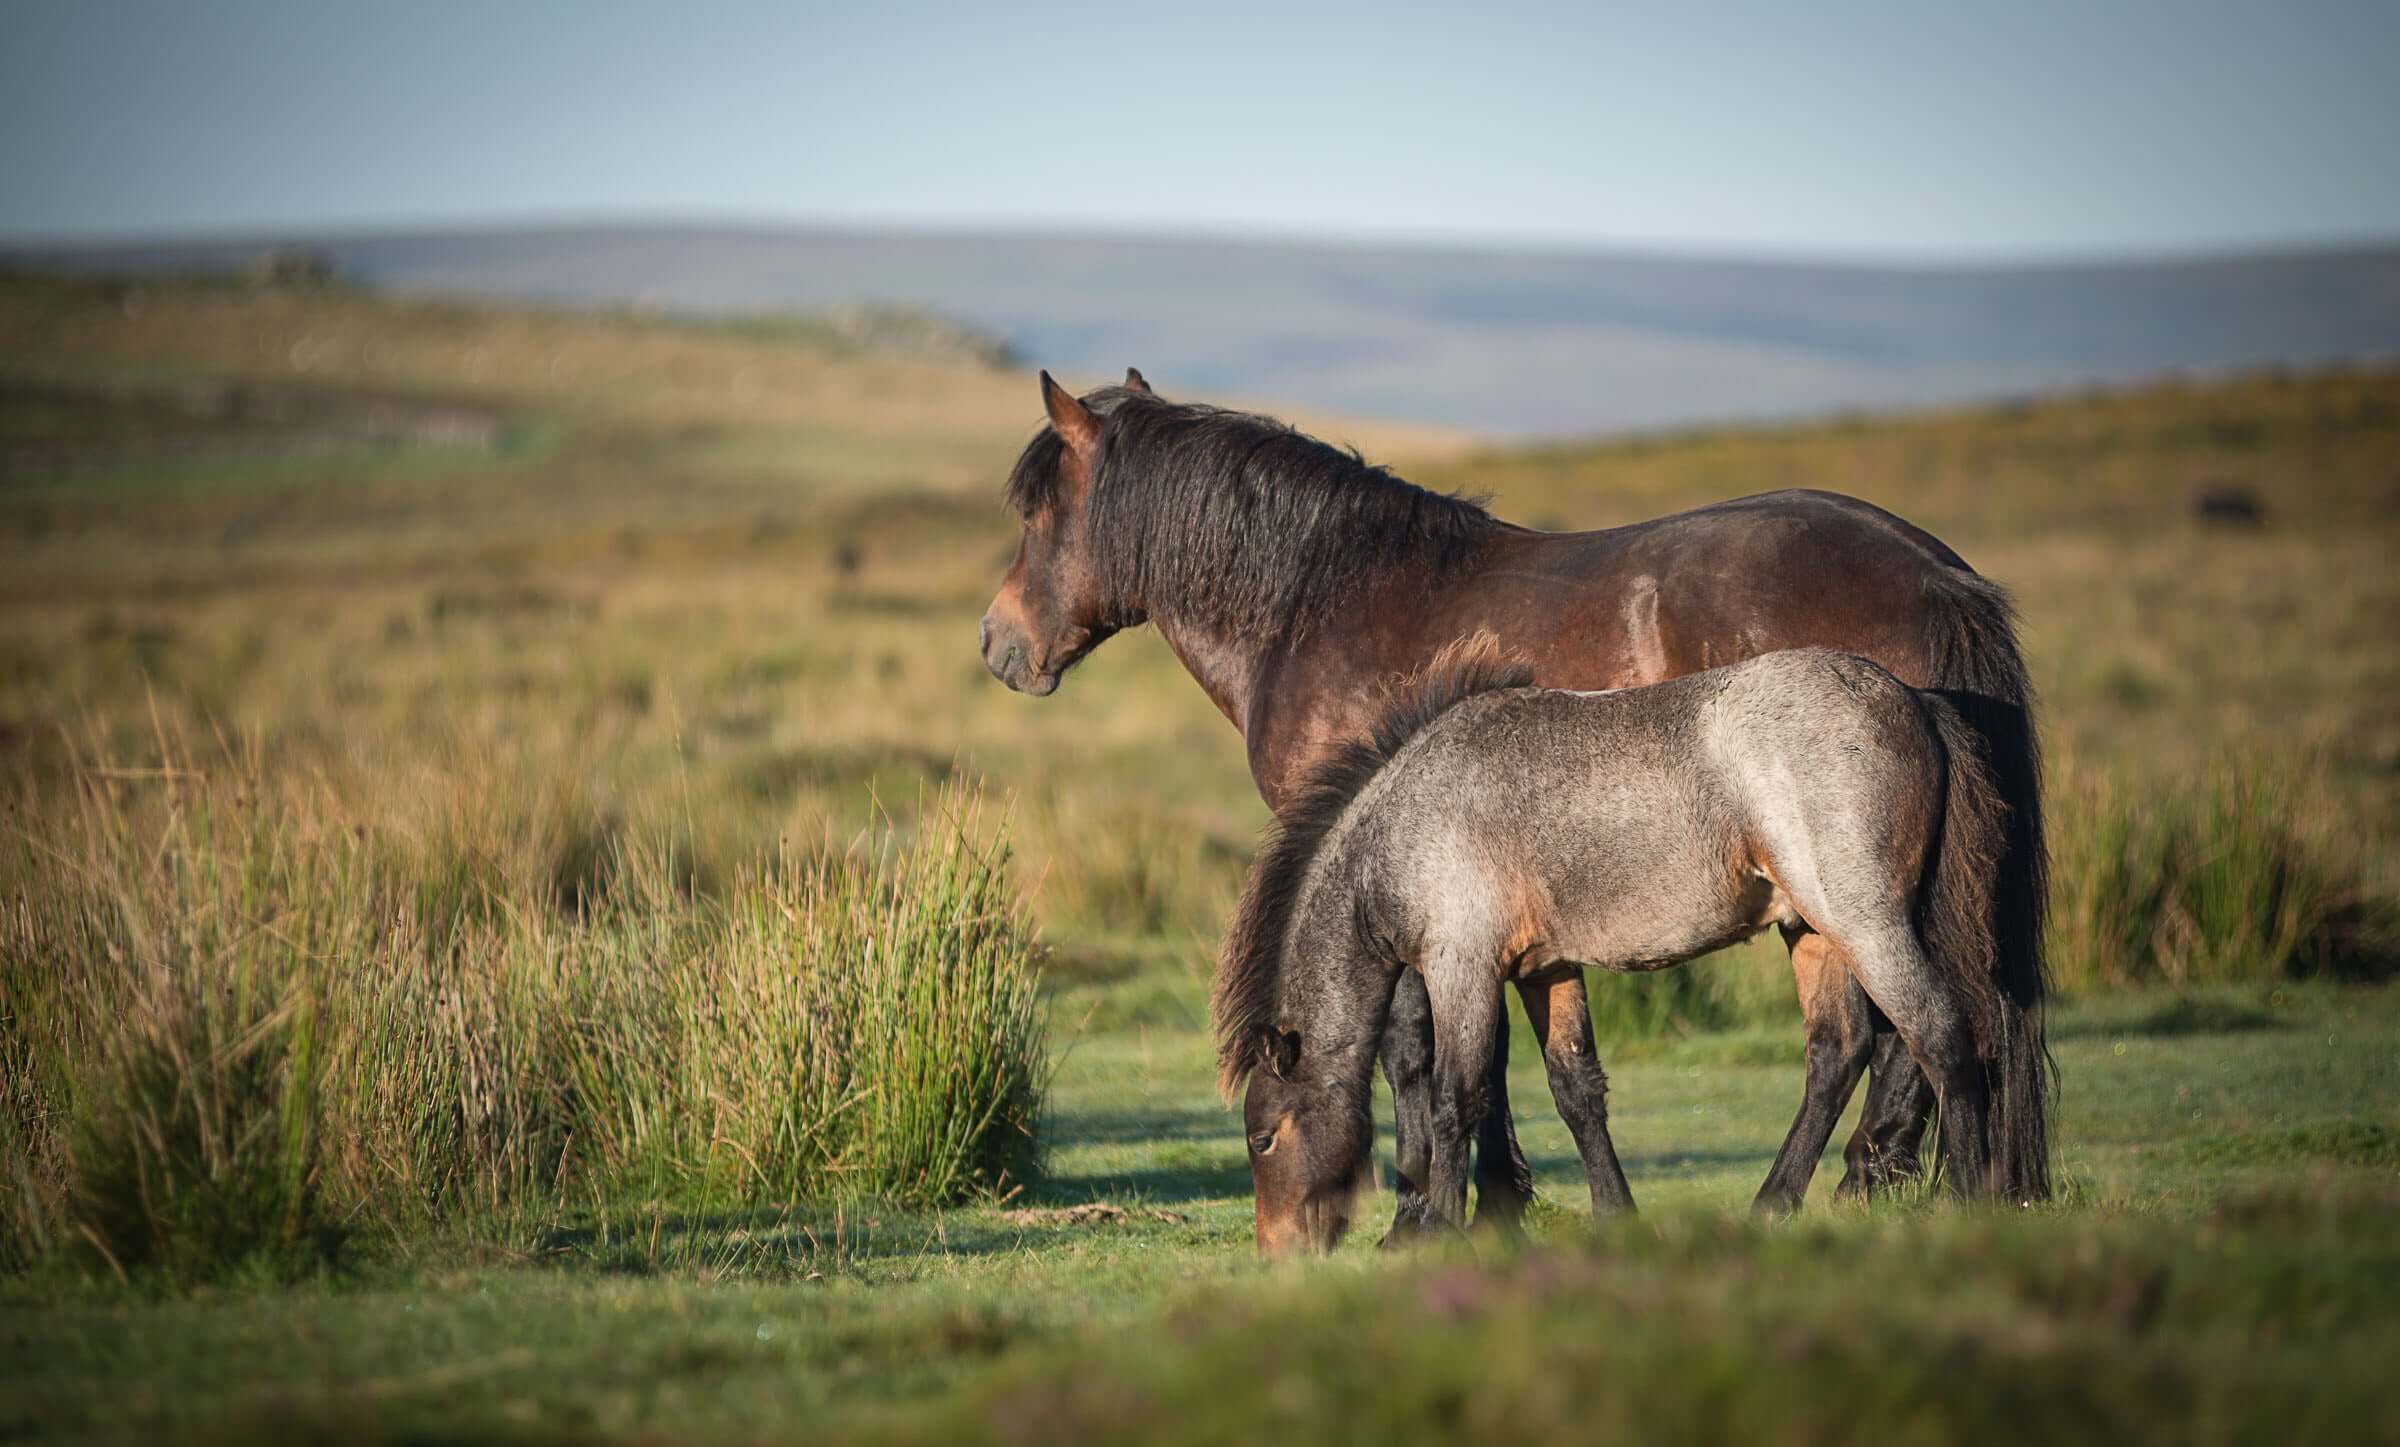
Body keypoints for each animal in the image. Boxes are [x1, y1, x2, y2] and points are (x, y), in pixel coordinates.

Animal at [1217, 638, 2048, 1253]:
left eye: (1262, 1138)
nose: (1278, 1253)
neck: (1409, 818)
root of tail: (1918, 702)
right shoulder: (1544, 969)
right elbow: (1575, 1089)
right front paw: (1616, 1214)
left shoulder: (1462, 967)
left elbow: (1457, 1095)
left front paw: (1439, 1230)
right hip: (1813, 932)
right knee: (1838, 1052)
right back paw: (1770, 1204)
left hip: (1866, 922)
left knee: (1939, 1033)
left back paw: (1970, 1201)